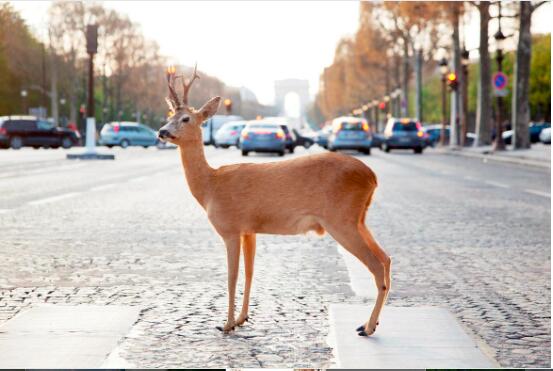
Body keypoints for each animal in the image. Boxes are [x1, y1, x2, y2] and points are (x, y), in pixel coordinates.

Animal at [157, 66, 390, 338]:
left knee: (376, 265)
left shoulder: (230, 227)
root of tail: (372, 177)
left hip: (340, 219)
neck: (210, 186)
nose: (162, 132)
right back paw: (370, 323)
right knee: (386, 258)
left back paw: (368, 327)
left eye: (186, 119)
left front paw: (226, 324)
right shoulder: (249, 230)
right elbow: (250, 273)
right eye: (170, 114)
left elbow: (232, 276)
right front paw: (241, 318)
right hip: (358, 219)